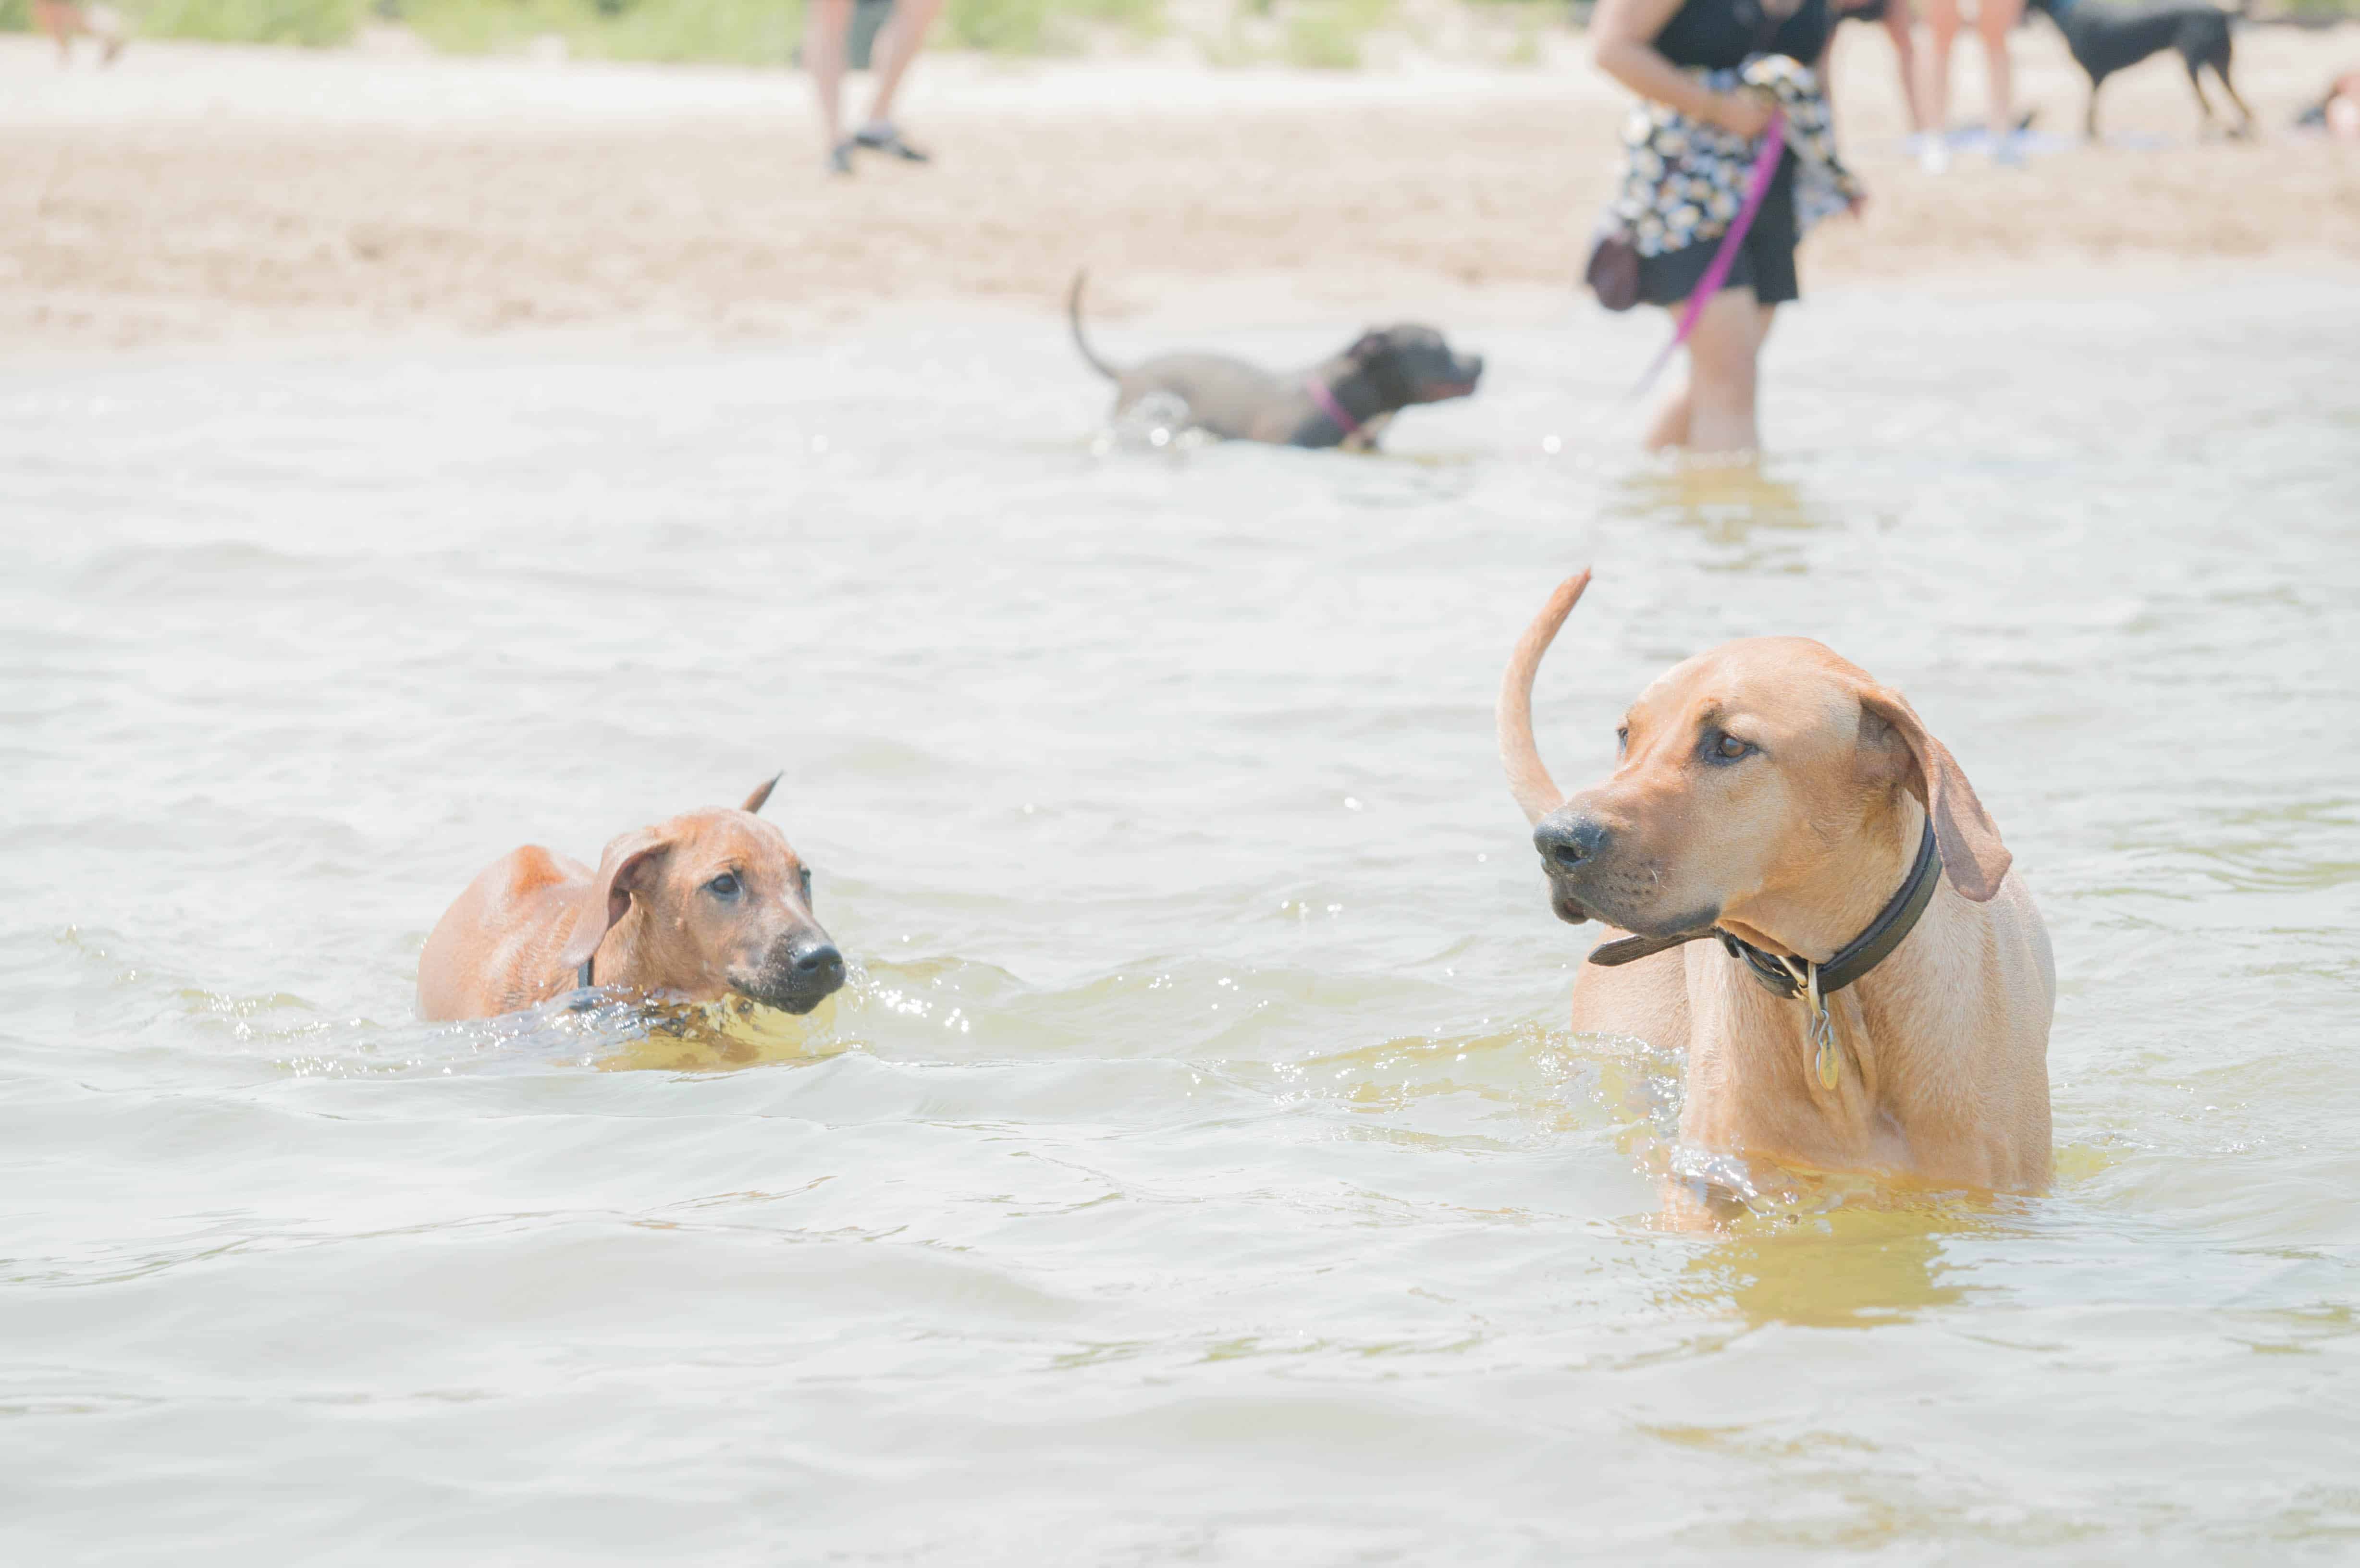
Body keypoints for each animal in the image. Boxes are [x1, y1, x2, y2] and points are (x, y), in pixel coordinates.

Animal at [2020, 0, 2256, 139]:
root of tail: (2223, 14)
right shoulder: (2097, 78)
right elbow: (2091, 111)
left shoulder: (2095, 76)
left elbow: (2089, 111)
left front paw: (2089, 135)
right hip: (2221, 65)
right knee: (2243, 107)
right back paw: (2239, 131)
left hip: (2193, 64)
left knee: (2209, 107)